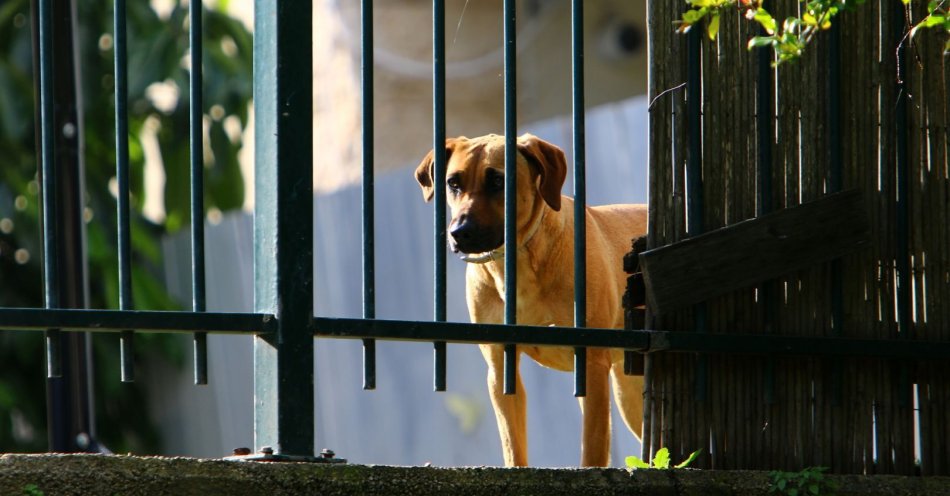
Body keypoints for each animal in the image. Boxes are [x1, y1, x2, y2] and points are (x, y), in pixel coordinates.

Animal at [416, 134, 648, 466]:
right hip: (628, 390)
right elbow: (512, 442)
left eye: (498, 181)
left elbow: (592, 445)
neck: (518, 263)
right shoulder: (500, 364)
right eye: (453, 183)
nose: (459, 232)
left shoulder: (591, 362)